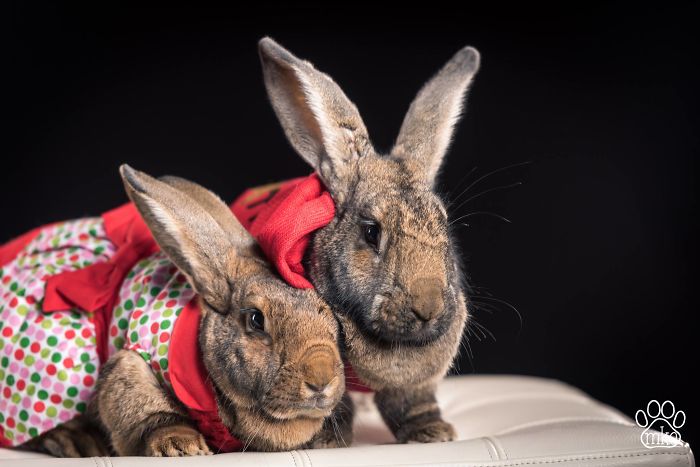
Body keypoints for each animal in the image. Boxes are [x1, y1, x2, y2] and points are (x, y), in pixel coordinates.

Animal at [3, 166, 346, 456]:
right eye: (255, 320)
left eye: (332, 319)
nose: (321, 378)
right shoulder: (132, 365)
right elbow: (149, 412)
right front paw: (181, 447)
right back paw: (77, 443)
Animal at [253, 37, 480, 444]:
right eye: (371, 232)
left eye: (443, 224)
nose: (428, 306)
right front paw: (328, 440)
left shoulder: (414, 386)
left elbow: (412, 400)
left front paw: (433, 432)